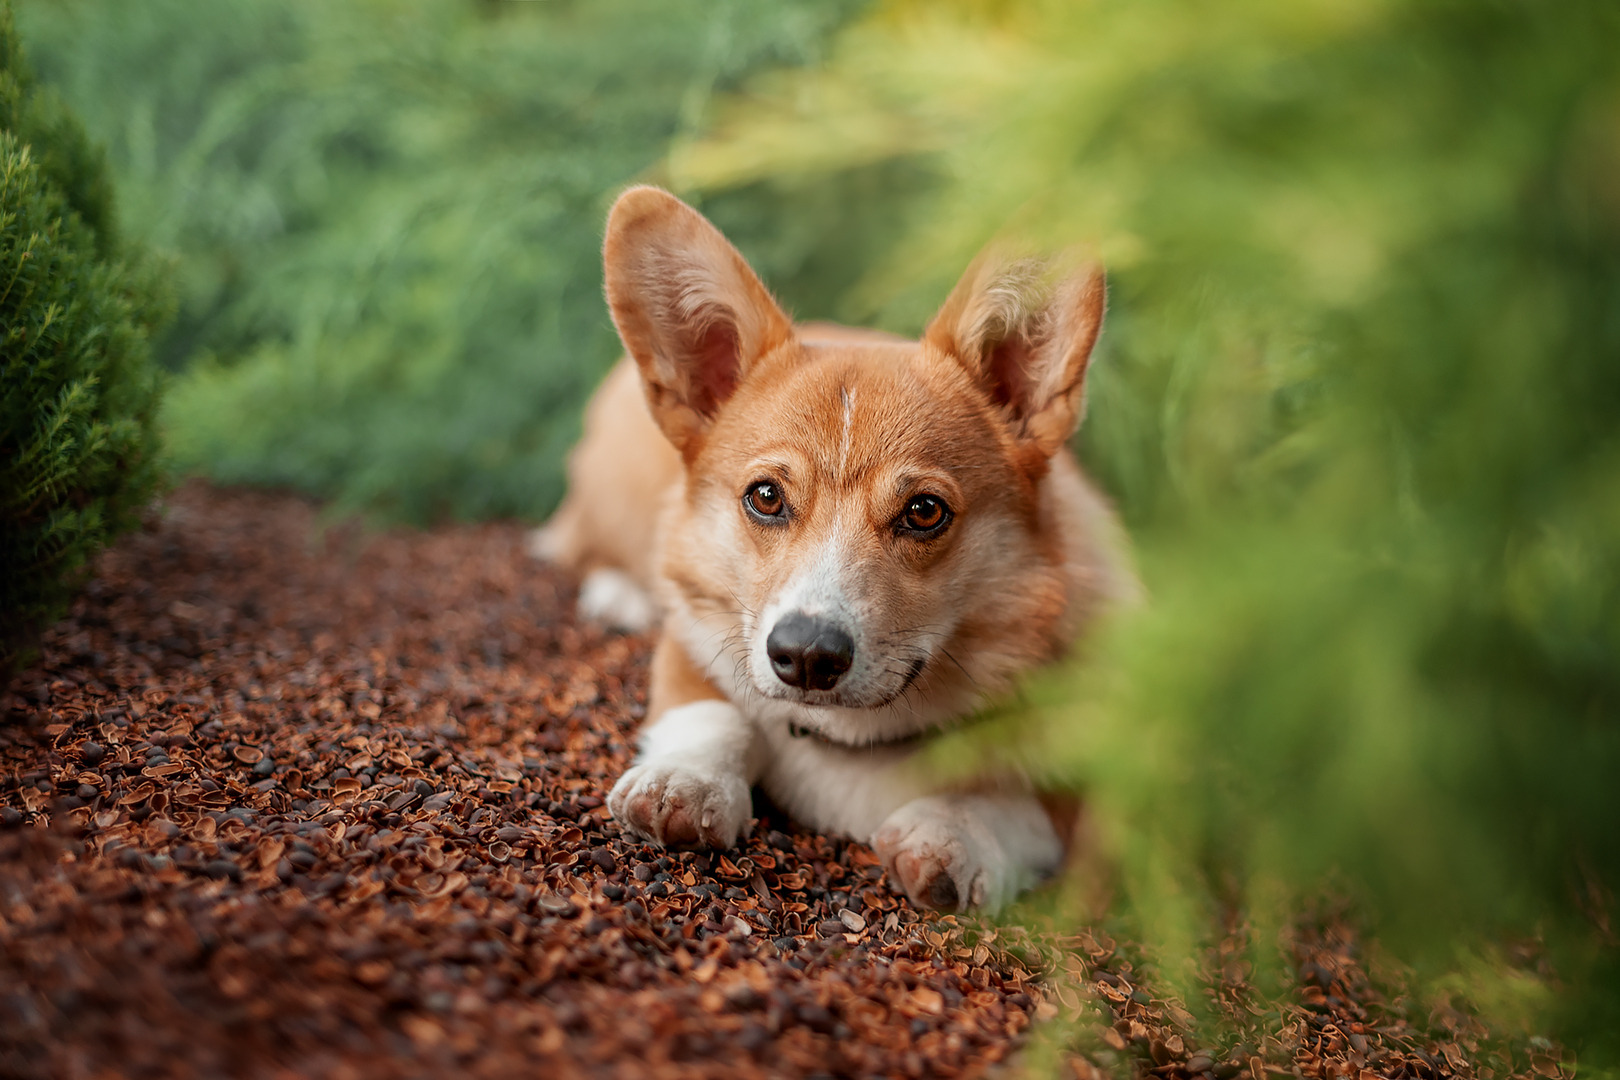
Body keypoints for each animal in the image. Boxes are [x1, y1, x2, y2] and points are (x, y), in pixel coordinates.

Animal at [537, 187, 1134, 913]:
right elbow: (711, 709)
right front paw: (685, 781)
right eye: (765, 497)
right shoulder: (694, 640)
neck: (851, 736)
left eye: (925, 512)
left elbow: (1020, 803)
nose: (806, 657)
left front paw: (954, 832)